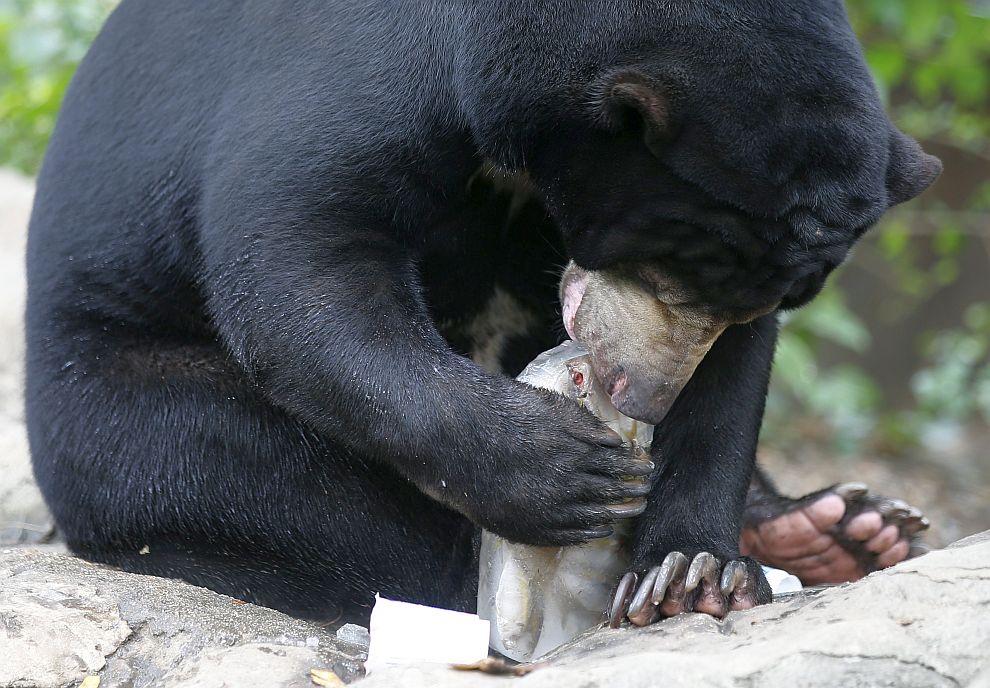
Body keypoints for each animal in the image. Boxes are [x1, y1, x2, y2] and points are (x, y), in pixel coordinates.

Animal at [27, 0, 940, 624]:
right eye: (675, 269)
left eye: (761, 298)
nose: (642, 399)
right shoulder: (354, 70)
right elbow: (299, 261)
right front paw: (565, 473)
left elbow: (732, 384)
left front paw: (695, 571)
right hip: (124, 405)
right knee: (268, 483)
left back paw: (839, 528)